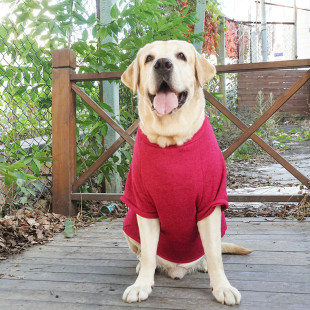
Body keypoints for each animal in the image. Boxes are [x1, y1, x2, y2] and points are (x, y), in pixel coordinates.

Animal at [120, 40, 251, 306]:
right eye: (148, 58)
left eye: (181, 56)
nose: (162, 63)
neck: (172, 140)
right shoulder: (143, 205)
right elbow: (148, 254)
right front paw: (141, 285)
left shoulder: (210, 204)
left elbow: (215, 254)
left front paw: (222, 287)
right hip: (129, 222)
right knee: (145, 254)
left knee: (210, 252)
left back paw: (202, 265)